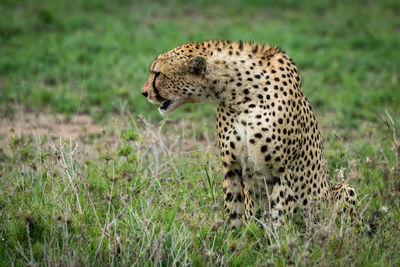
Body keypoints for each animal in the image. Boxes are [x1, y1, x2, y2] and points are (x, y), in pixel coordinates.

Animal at [141, 40, 356, 229]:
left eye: (157, 74)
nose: (143, 93)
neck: (241, 92)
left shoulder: (284, 171)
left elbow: (279, 219)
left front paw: (278, 246)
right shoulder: (231, 167)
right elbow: (234, 212)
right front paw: (233, 242)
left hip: (344, 190)